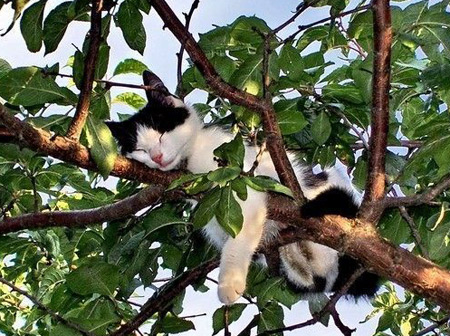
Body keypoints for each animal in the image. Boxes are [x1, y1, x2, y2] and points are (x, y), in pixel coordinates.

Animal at [106, 71, 380, 304]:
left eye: (163, 132)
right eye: (140, 149)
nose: (157, 157)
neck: (191, 159)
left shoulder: (241, 179)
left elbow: (238, 236)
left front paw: (229, 282)